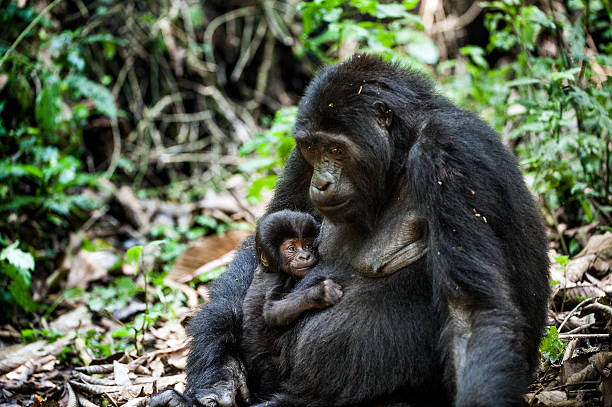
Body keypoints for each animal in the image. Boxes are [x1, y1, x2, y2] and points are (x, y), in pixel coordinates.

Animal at [240, 209, 344, 400]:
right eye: (291, 248)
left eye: (309, 245)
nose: (305, 256)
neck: (269, 268)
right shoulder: (277, 278)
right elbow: (272, 312)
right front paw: (320, 293)